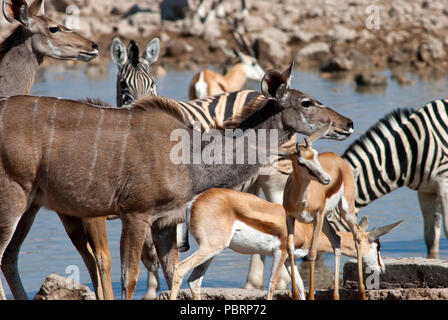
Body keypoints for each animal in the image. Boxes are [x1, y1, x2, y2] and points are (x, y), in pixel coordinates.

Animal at [0, 65, 354, 300]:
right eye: (307, 102)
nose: (348, 122)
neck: (191, 157)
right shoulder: (136, 214)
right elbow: (130, 278)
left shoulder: (165, 221)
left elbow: (174, 273)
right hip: (13, 198)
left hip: (33, 206)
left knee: (10, 257)